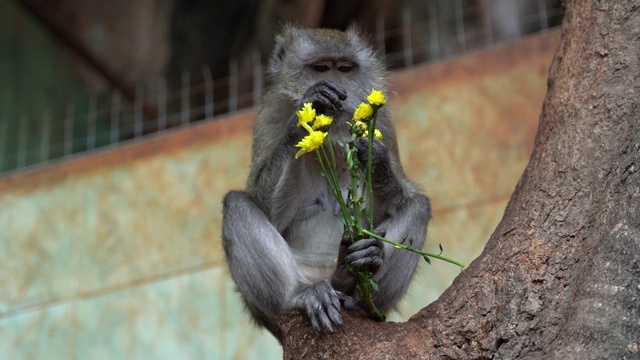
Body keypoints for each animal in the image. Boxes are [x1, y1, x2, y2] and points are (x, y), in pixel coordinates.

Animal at [222, 26, 432, 338]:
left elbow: (398, 203)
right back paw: (301, 295)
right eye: (320, 68)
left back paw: (359, 283)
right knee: (235, 204)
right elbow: (264, 206)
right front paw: (307, 110)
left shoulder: (383, 123)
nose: (336, 88)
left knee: (419, 206)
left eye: (344, 68)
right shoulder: (269, 116)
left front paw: (377, 161)